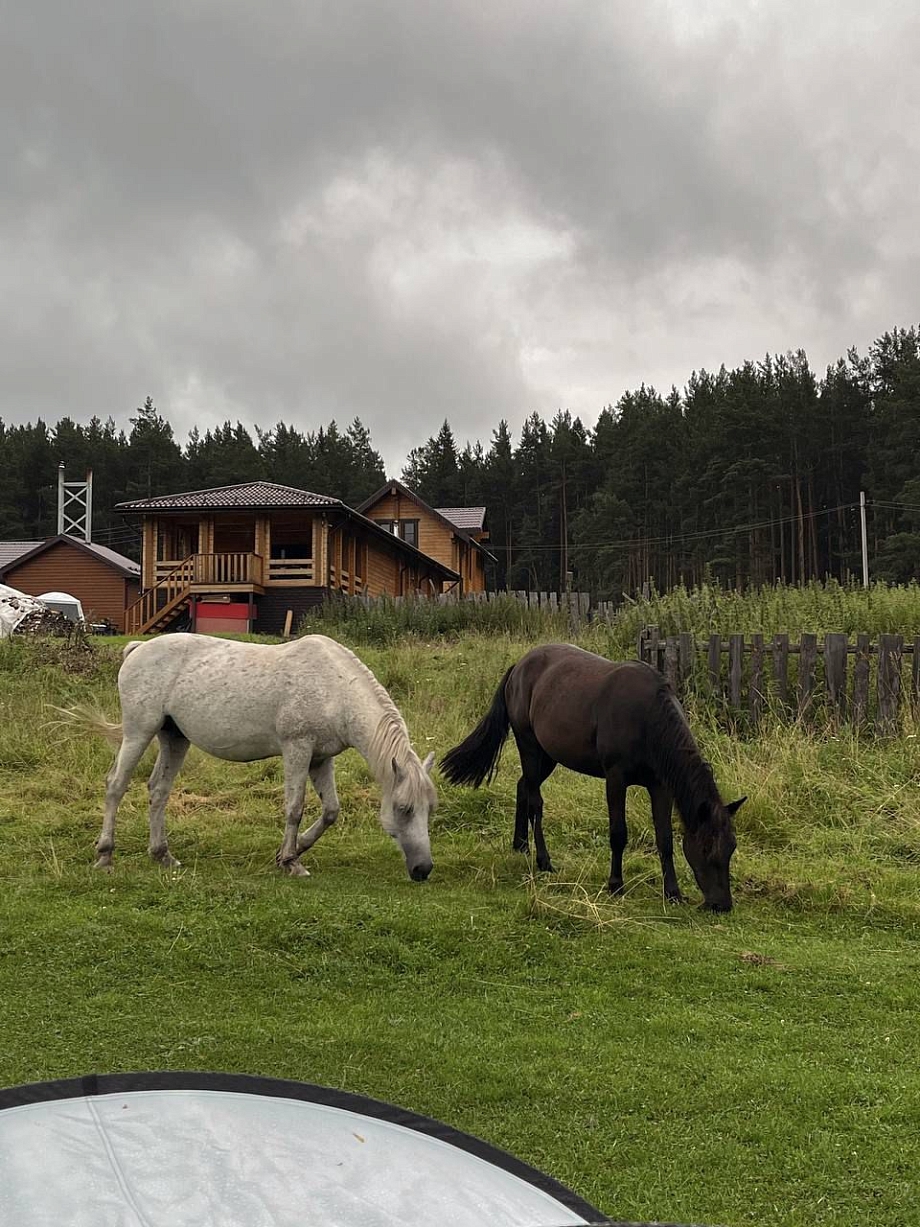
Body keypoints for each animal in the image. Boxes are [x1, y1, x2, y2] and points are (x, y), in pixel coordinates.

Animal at [68, 633, 436, 883]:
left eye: (429, 810)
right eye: (403, 808)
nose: (423, 869)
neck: (334, 687)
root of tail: (138, 648)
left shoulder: (321, 758)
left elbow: (331, 811)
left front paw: (294, 850)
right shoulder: (297, 749)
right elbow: (294, 807)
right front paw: (291, 861)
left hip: (174, 738)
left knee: (158, 790)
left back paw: (163, 855)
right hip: (139, 732)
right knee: (116, 785)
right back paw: (105, 855)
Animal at [441, 647, 750, 907]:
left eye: (731, 848)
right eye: (707, 847)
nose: (722, 905)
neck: (647, 719)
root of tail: (519, 666)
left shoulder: (660, 786)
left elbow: (665, 839)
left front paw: (673, 893)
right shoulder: (615, 778)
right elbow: (618, 833)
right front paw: (615, 884)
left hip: (547, 755)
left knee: (523, 787)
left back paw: (520, 846)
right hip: (528, 746)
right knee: (535, 801)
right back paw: (544, 861)